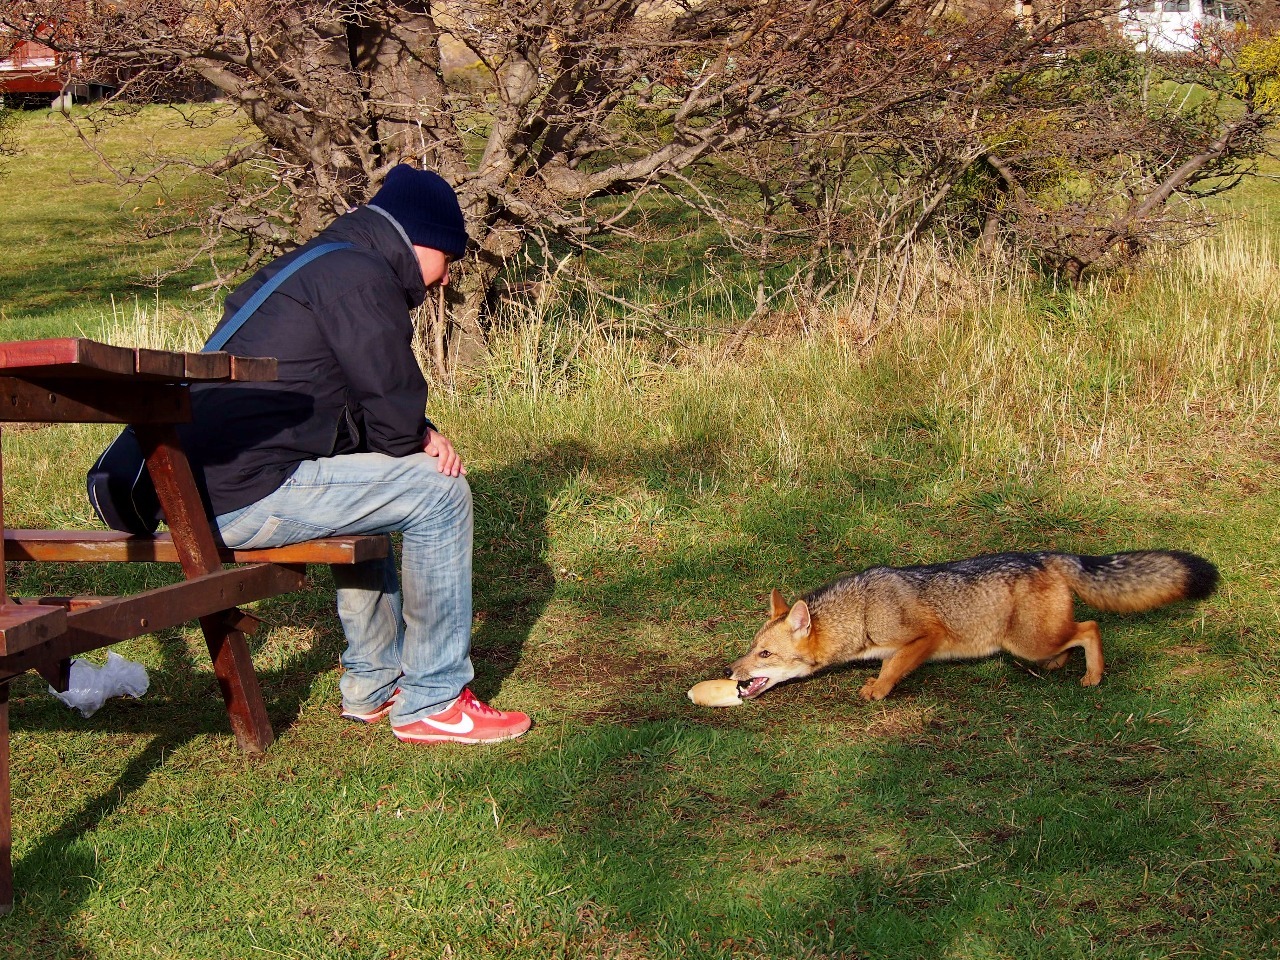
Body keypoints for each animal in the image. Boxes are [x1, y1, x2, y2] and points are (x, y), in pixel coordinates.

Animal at [728, 550, 1218, 701]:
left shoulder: (926, 638)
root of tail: (1044, 554)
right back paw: (1063, 667)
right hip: (1034, 643)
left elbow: (892, 666)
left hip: (1027, 642)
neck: (863, 610)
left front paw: (878, 689)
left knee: (1091, 626)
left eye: (765, 654)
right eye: (751, 648)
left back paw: (1093, 675)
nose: (732, 672)